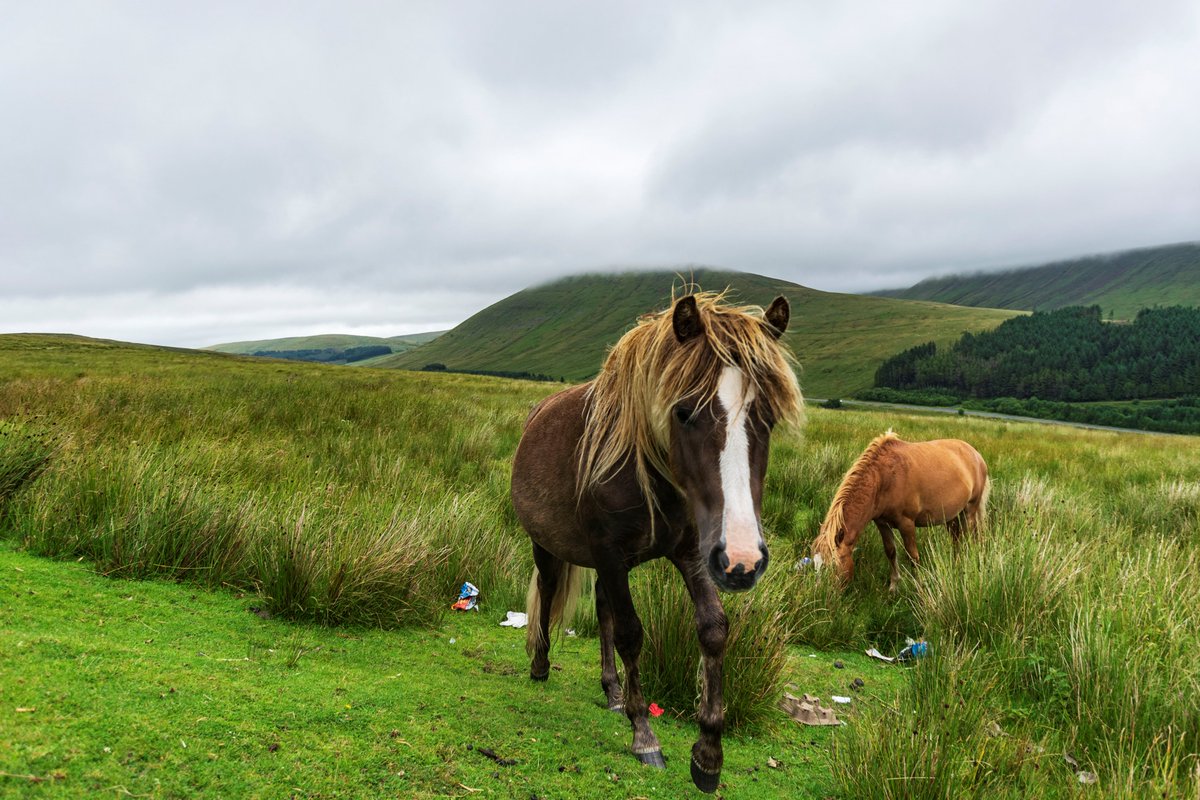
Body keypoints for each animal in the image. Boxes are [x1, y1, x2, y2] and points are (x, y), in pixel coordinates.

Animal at [510, 291, 802, 792]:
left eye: (769, 417)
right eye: (683, 412)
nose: (744, 560)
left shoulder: (694, 554)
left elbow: (713, 629)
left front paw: (708, 754)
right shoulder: (610, 553)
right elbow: (631, 634)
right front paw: (645, 736)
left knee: (603, 608)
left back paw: (611, 692)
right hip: (549, 546)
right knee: (548, 594)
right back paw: (541, 665)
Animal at [811, 431, 989, 592]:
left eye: (832, 567)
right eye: (816, 566)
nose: (823, 597)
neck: (884, 479)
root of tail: (976, 455)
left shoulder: (907, 524)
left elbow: (913, 556)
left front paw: (919, 587)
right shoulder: (882, 523)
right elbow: (890, 551)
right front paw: (894, 586)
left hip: (970, 511)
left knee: (969, 539)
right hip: (952, 516)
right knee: (956, 539)